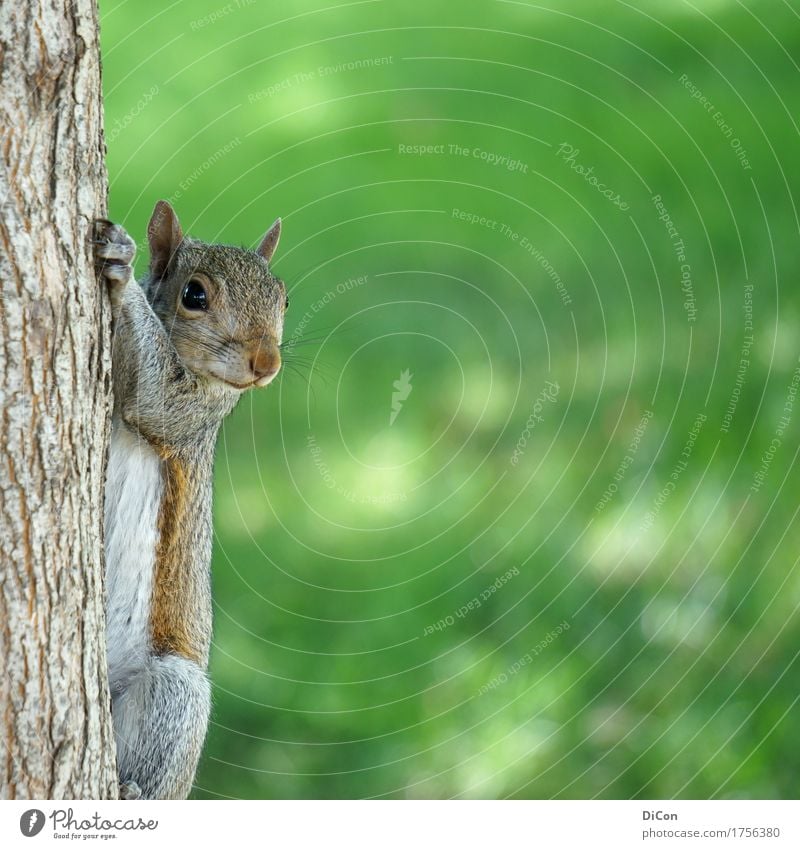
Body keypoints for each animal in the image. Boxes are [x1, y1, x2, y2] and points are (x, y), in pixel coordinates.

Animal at [94, 202, 288, 800]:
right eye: (194, 295)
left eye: (283, 299)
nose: (266, 363)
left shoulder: (190, 418)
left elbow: (155, 399)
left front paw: (121, 265)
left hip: (173, 689)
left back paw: (133, 790)